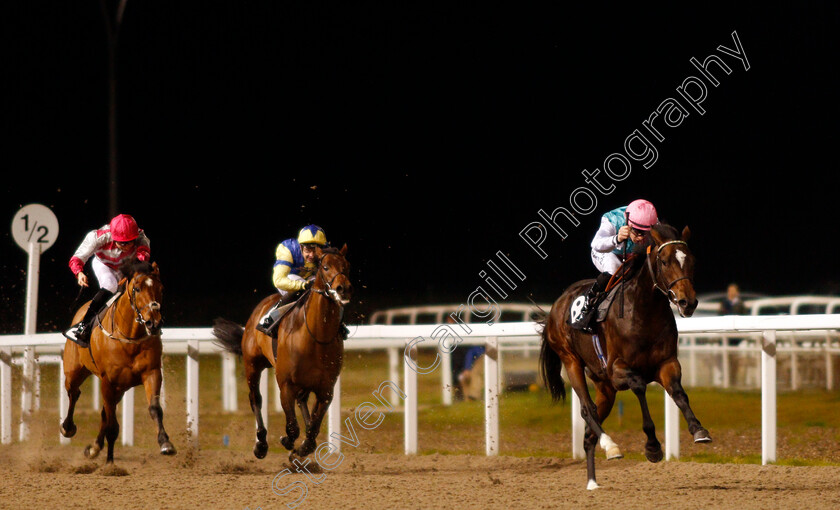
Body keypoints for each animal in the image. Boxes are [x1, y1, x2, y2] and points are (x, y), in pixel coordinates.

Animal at [61, 260, 176, 464]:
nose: (154, 323)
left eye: (161, 288)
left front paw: (165, 443)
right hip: (75, 371)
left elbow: (155, 408)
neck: (129, 337)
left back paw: (94, 447)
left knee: (104, 413)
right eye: (137, 289)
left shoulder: (151, 372)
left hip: (121, 388)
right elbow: (112, 426)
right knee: (74, 393)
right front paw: (110, 463)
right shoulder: (108, 381)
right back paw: (68, 427)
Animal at [215, 245, 352, 460]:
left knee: (302, 401)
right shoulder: (286, 385)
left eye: (346, 266)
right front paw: (287, 441)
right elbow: (292, 427)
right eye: (326, 267)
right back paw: (261, 443)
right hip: (252, 364)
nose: (343, 288)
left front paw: (303, 448)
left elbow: (313, 428)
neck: (316, 338)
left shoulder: (326, 389)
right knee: (256, 399)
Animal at [540, 223, 708, 490]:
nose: (687, 302)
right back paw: (611, 446)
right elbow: (639, 386)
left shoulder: (667, 364)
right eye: (664, 261)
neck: (643, 311)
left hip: (605, 387)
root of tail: (557, 305)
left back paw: (592, 482)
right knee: (587, 409)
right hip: (571, 360)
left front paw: (698, 429)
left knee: (589, 432)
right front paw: (652, 447)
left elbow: (679, 393)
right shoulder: (618, 370)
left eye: (691, 260)